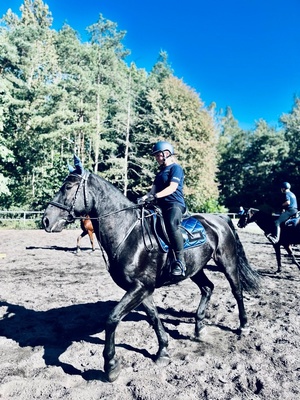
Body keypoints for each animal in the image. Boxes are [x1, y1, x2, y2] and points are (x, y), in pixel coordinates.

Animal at [42, 158, 260, 382]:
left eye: (68, 187)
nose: (46, 220)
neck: (129, 233)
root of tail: (220, 219)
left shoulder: (140, 287)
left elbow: (112, 318)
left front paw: (110, 365)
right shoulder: (142, 288)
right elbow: (154, 317)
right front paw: (163, 351)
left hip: (228, 262)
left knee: (236, 291)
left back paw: (243, 325)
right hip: (196, 268)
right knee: (208, 288)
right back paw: (199, 328)